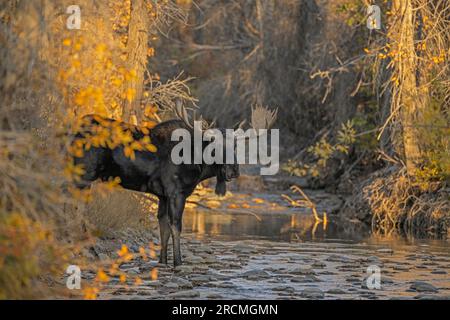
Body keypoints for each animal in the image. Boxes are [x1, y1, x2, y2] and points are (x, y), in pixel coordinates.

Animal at [71, 104, 276, 266]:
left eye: (235, 147)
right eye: (213, 146)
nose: (233, 171)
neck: (198, 163)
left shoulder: (162, 195)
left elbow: (163, 228)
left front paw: (163, 260)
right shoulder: (177, 192)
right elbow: (176, 226)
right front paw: (178, 261)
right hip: (83, 176)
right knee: (76, 212)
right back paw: (90, 251)